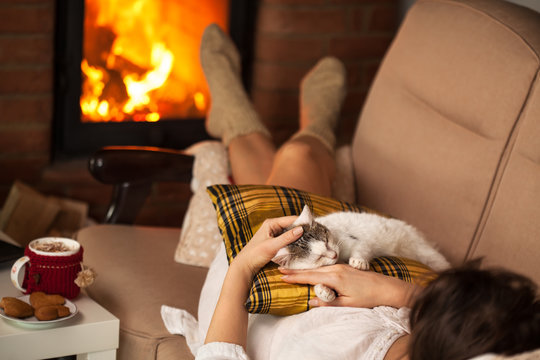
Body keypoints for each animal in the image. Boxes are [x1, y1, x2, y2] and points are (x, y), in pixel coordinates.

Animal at [272, 205, 450, 300]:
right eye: (318, 258)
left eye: (327, 241)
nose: (334, 255)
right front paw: (323, 290)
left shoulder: (354, 241)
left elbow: (362, 247)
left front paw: (358, 261)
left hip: (424, 251)